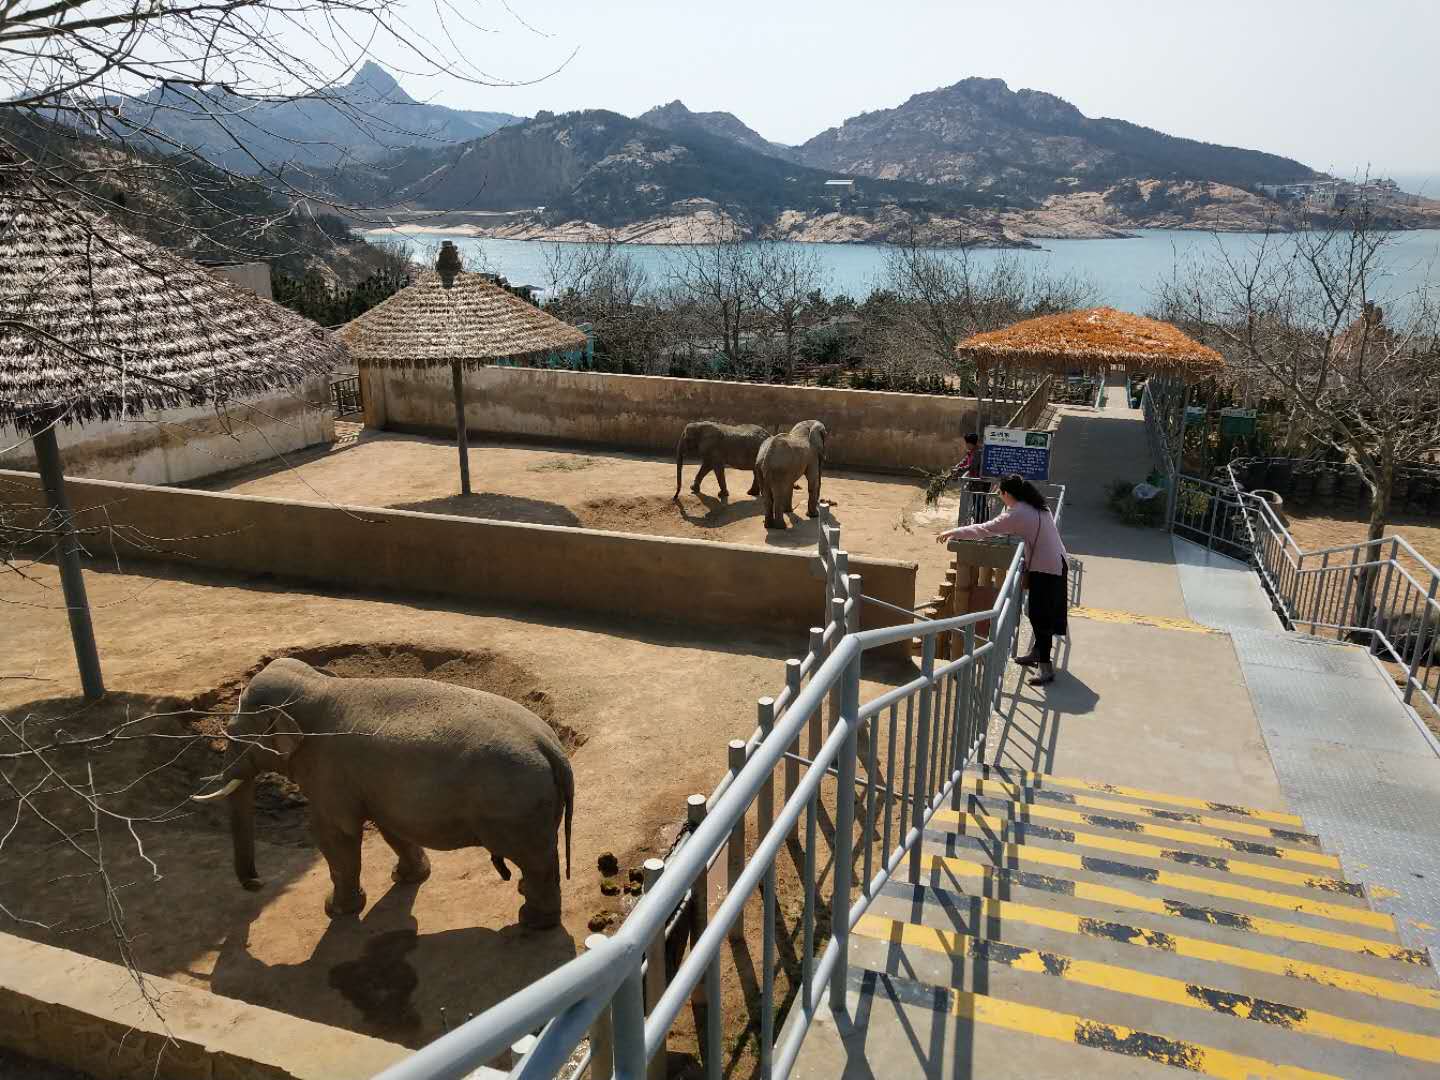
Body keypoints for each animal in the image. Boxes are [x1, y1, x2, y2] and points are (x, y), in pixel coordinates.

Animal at [191, 659, 573, 933]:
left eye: (236, 735)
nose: (256, 883)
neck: (319, 684)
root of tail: (551, 747)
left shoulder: (329, 772)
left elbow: (334, 836)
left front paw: (336, 910)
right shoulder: (374, 783)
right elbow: (392, 826)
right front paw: (405, 878)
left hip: (514, 809)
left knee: (535, 861)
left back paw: (532, 923)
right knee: (542, 859)